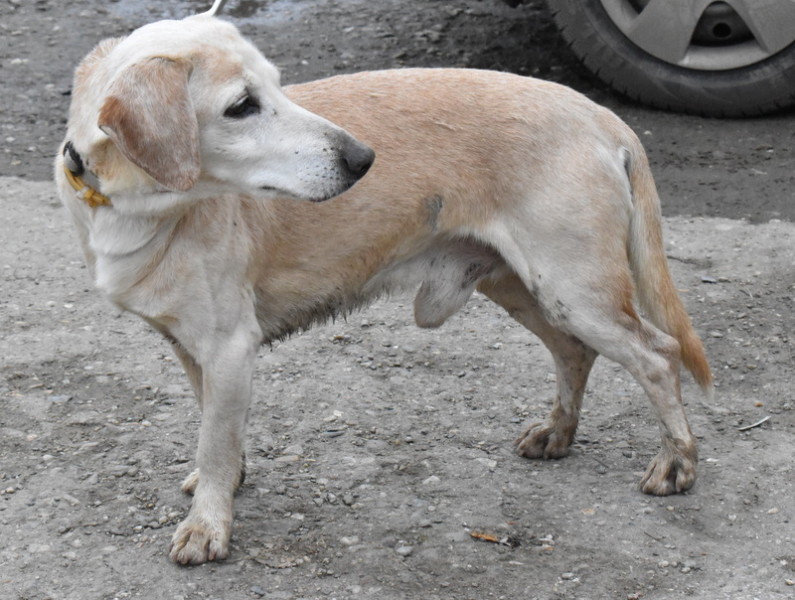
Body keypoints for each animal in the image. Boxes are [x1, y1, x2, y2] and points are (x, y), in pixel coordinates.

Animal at [55, 13, 712, 565]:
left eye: (278, 84)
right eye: (242, 106)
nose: (363, 158)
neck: (138, 209)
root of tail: (601, 114)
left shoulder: (229, 348)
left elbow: (215, 443)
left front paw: (207, 524)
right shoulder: (194, 350)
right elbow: (215, 431)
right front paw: (227, 484)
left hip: (576, 290)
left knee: (658, 356)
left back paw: (676, 463)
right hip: (522, 286)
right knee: (574, 352)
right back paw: (559, 433)